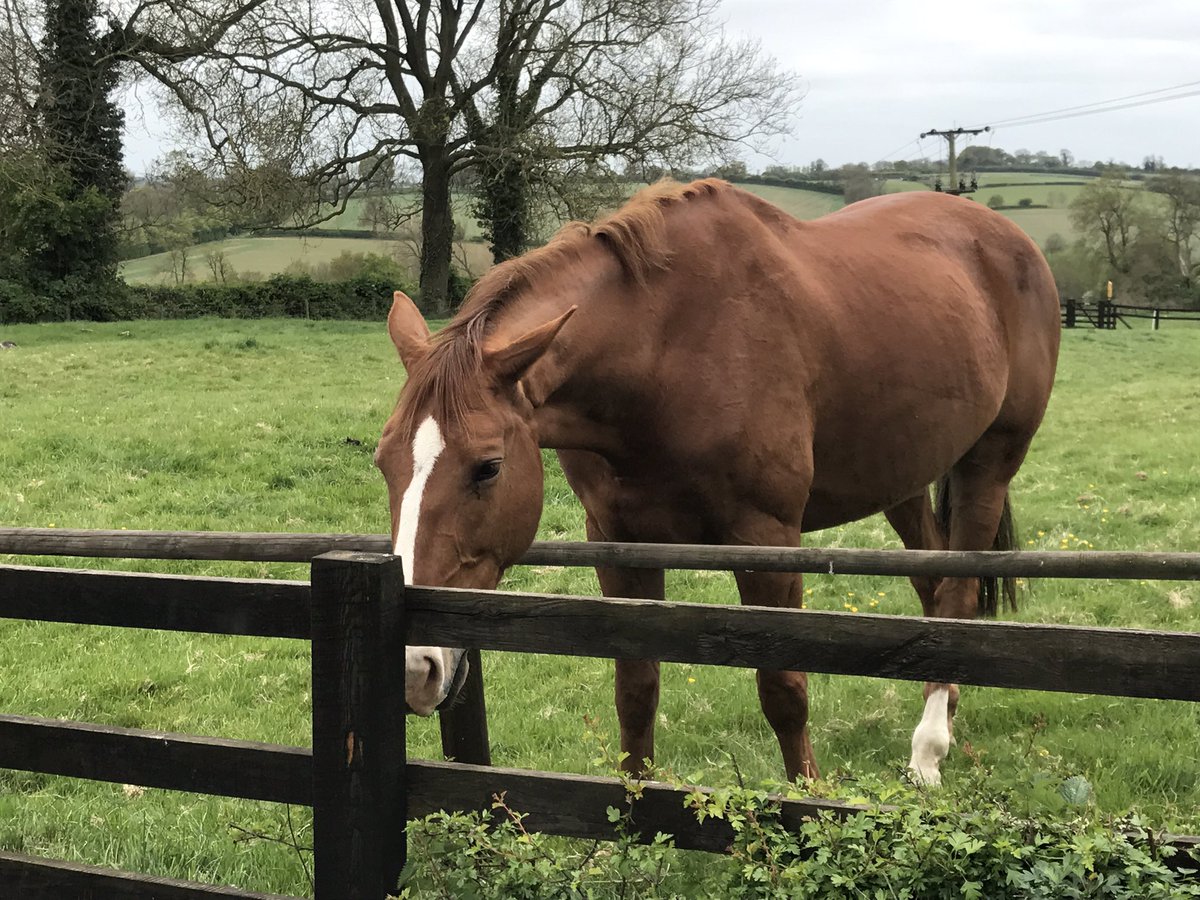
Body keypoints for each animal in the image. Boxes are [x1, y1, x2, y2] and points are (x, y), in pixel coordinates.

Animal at [375, 178, 1061, 786]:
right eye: (385, 462)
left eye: (488, 466)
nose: (411, 667)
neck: (664, 350)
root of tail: (1008, 239)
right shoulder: (620, 542)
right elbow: (636, 687)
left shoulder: (766, 540)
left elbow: (784, 689)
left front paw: (809, 806)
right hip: (903, 480)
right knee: (933, 583)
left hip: (987, 467)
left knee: (960, 592)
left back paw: (929, 749)